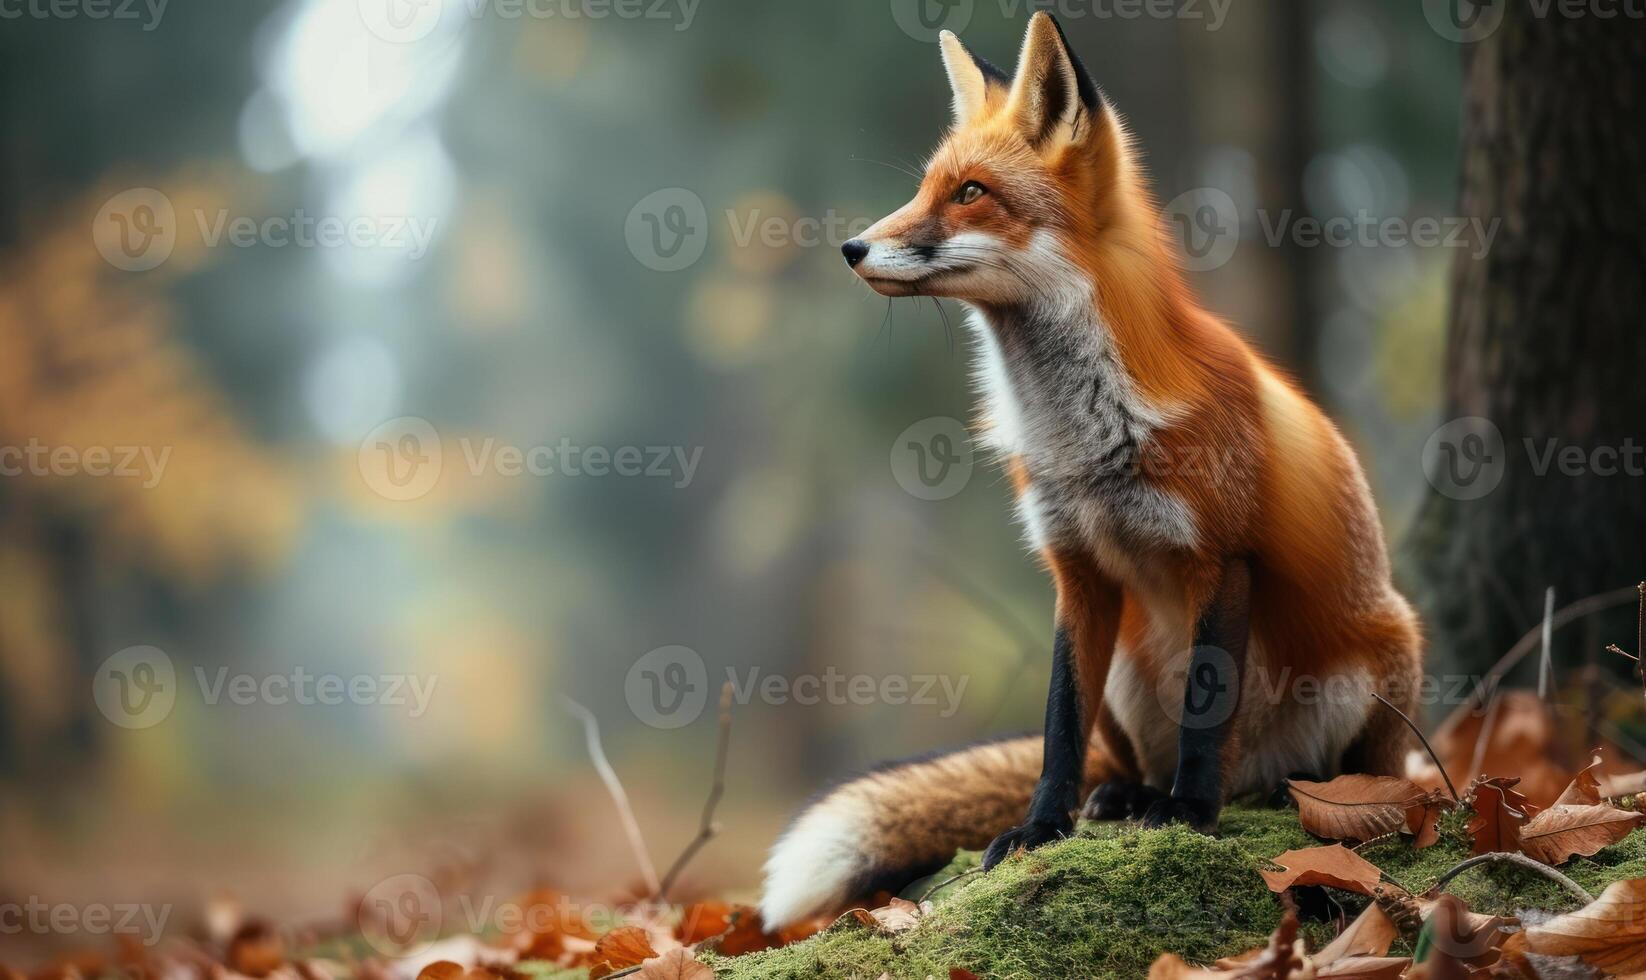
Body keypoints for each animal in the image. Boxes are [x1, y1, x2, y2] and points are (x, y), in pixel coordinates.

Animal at [763, 13, 1422, 928]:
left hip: (1374, 667)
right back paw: (1128, 797)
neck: (1084, 441)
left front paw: (1189, 814)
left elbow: (1205, 715)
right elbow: (1057, 727)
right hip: (1129, 675)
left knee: (1331, 775)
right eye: (928, 188)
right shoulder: (1074, 569)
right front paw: (1042, 829)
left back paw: (1262, 794)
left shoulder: (1223, 557)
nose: (852, 247)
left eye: (971, 193)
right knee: (1126, 762)